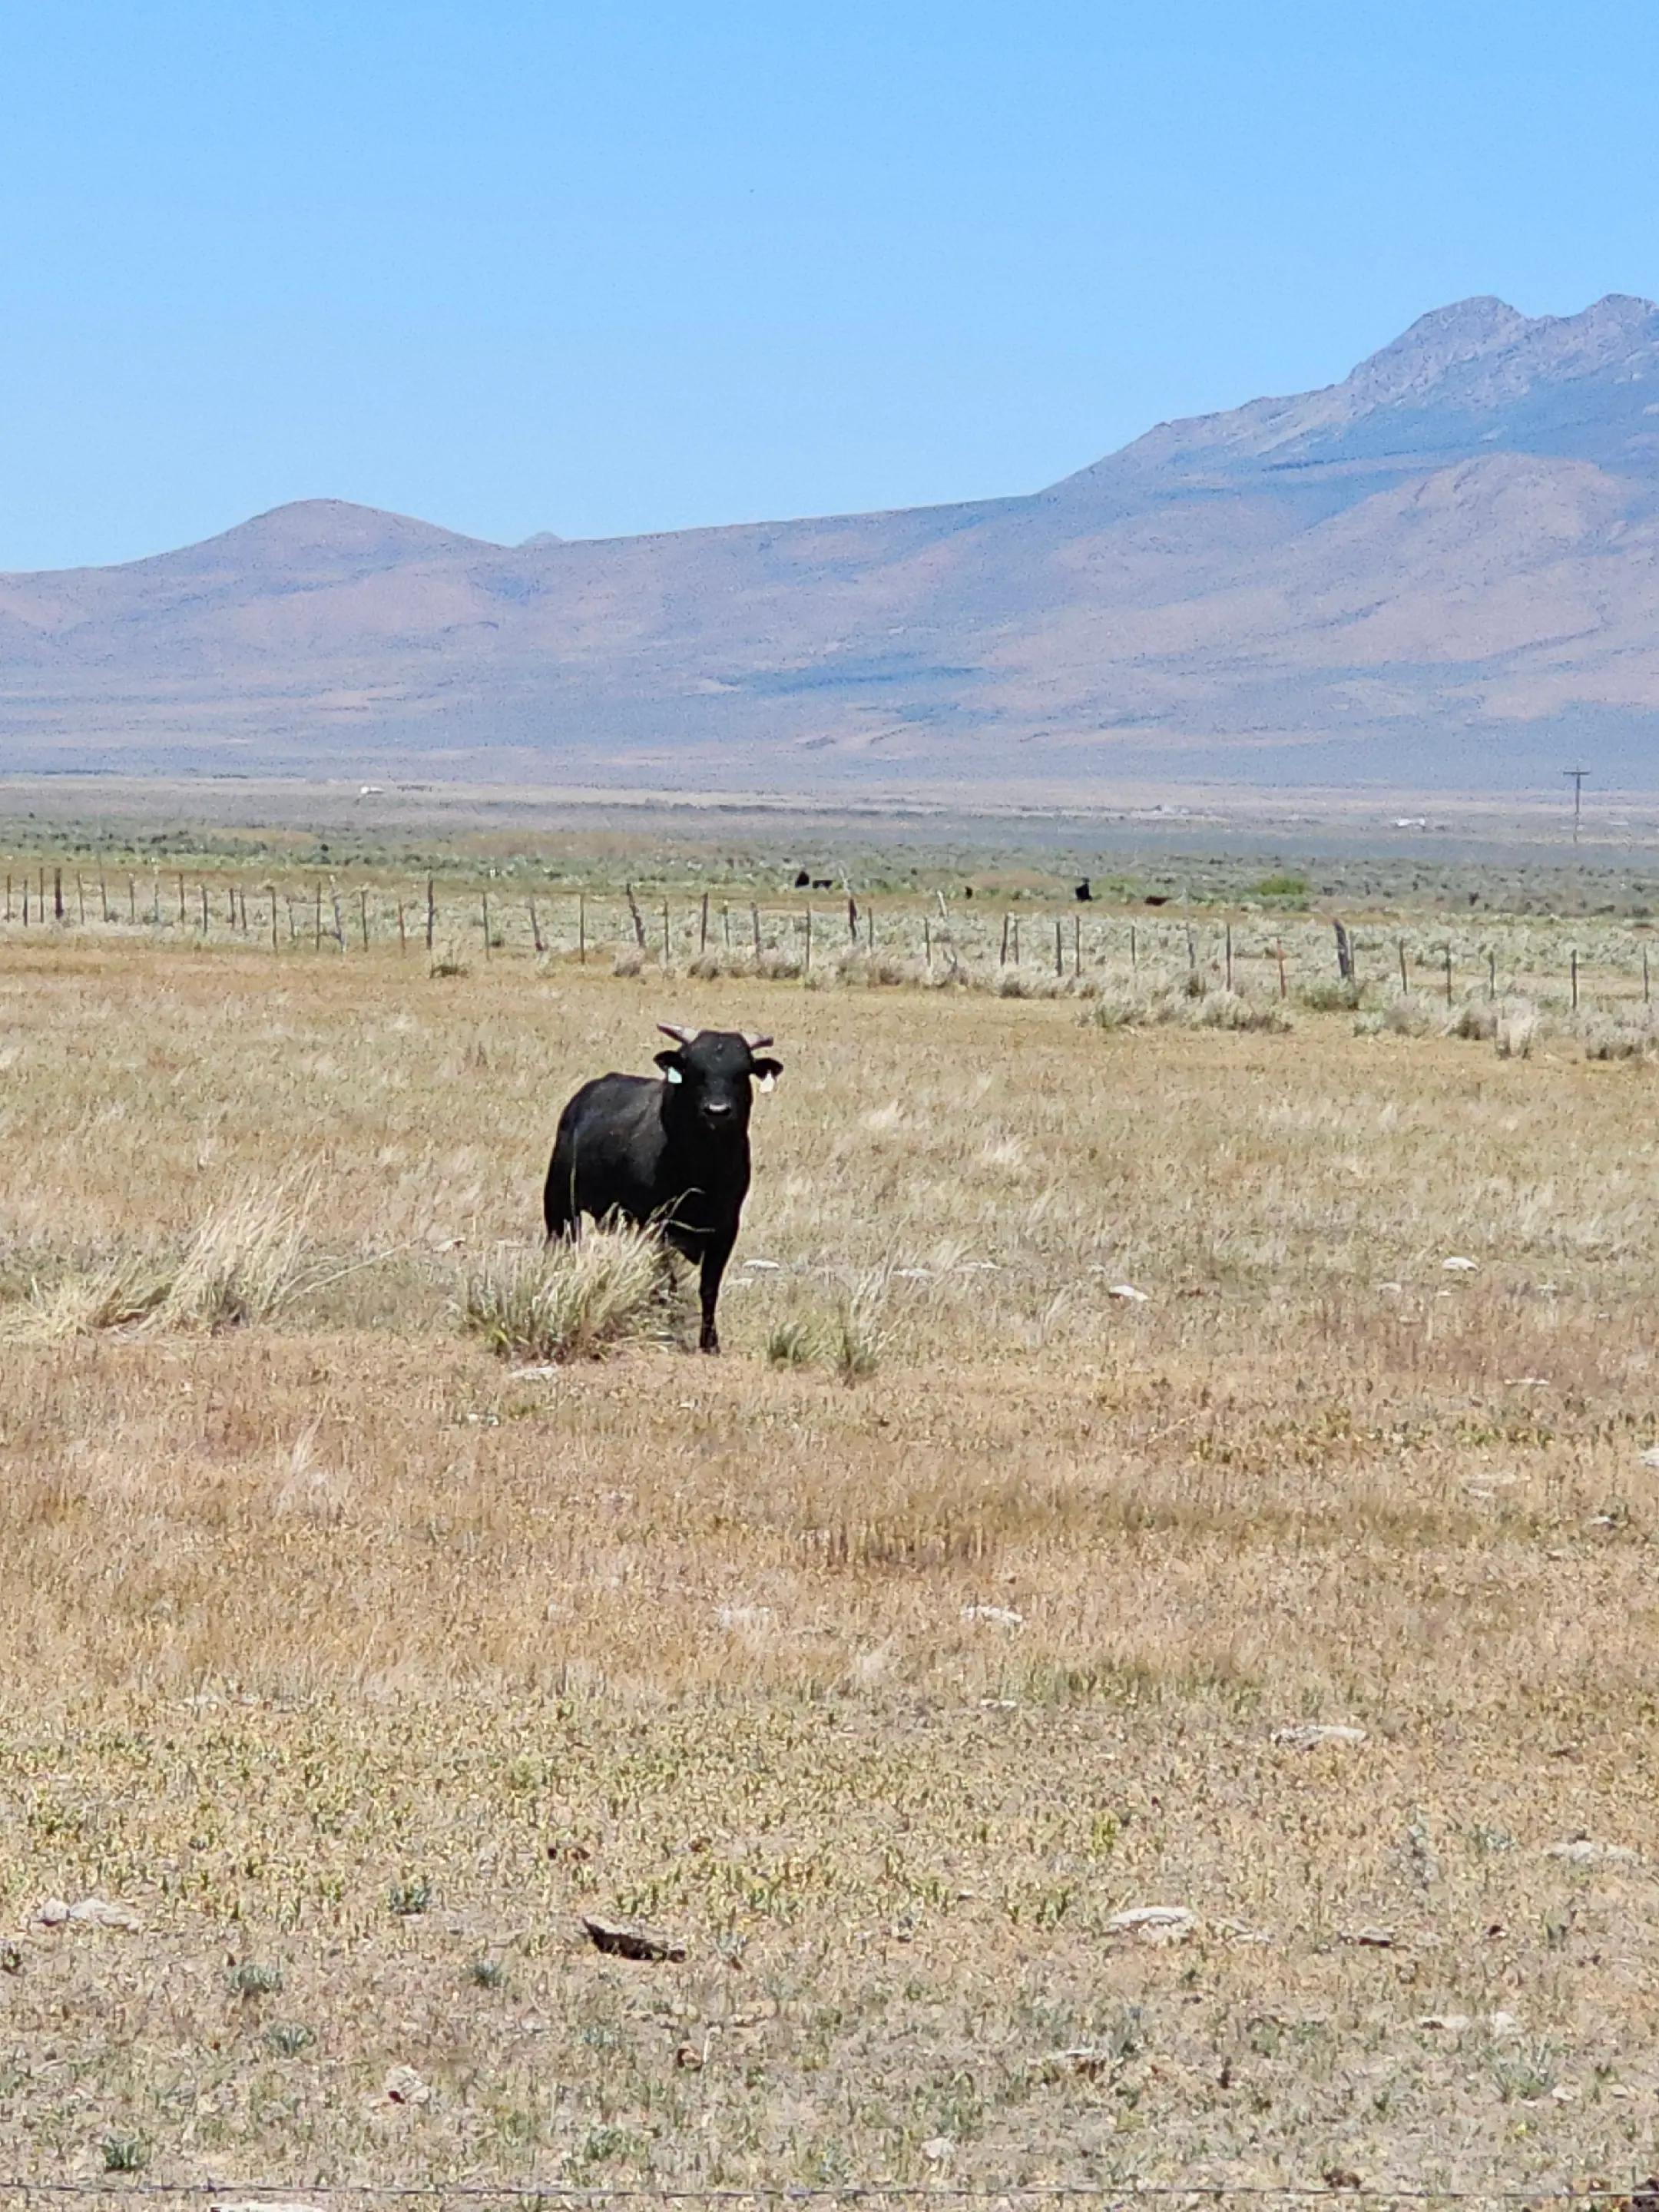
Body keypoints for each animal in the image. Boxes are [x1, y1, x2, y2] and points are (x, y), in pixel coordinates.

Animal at [542, 1023, 783, 1354]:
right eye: (694, 1069)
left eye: (742, 1071)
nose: (717, 1111)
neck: (704, 1169)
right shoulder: (657, 1225)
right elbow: (668, 1283)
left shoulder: (725, 1229)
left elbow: (709, 1288)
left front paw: (710, 1342)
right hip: (561, 1206)